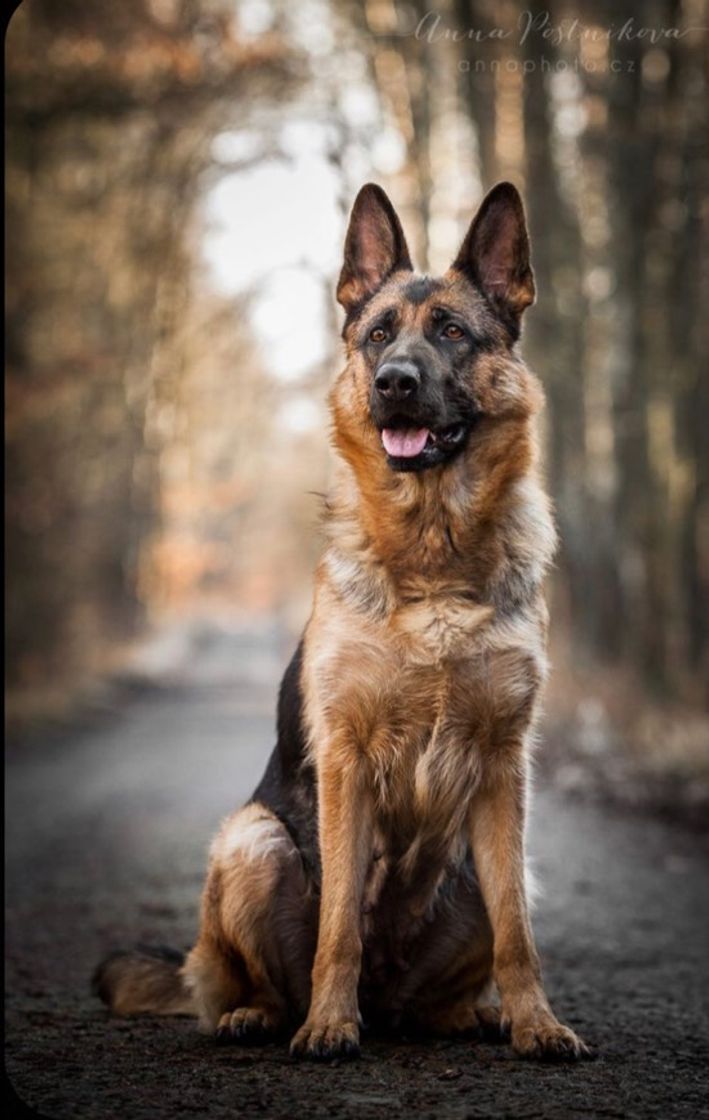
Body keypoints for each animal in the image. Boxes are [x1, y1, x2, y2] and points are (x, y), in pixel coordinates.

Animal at [94, 181, 586, 1057]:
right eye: (378, 334)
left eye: (452, 333)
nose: (393, 382)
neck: (431, 554)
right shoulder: (347, 764)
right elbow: (338, 927)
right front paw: (328, 1024)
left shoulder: (503, 767)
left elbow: (516, 934)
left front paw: (536, 1022)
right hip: (250, 841)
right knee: (247, 977)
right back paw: (265, 1014)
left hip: (479, 864)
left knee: (469, 956)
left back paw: (470, 1014)